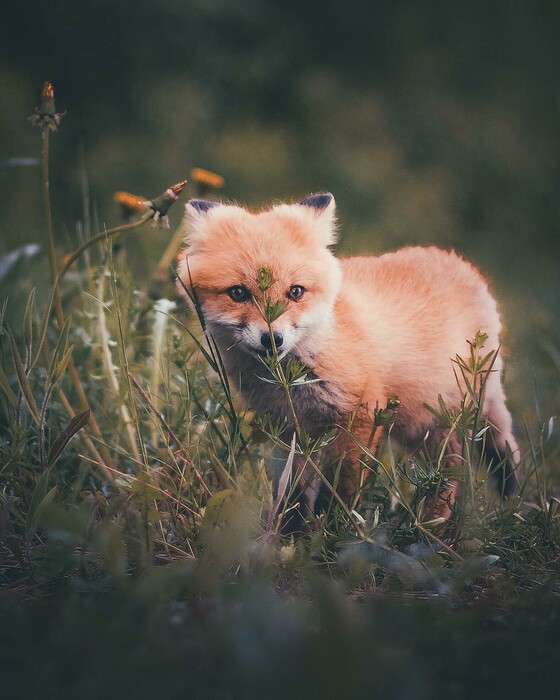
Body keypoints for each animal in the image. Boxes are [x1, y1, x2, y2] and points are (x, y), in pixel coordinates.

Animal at [177, 191, 520, 520]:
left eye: (295, 292)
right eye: (238, 293)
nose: (272, 339)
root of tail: (454, 259)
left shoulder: (361, 416)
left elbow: (343, 488)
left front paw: (334, 528)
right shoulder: (290, 430)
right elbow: (293, 494)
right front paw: (291, 532)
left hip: (448, 412)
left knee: (472, 461)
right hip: (417, 425)